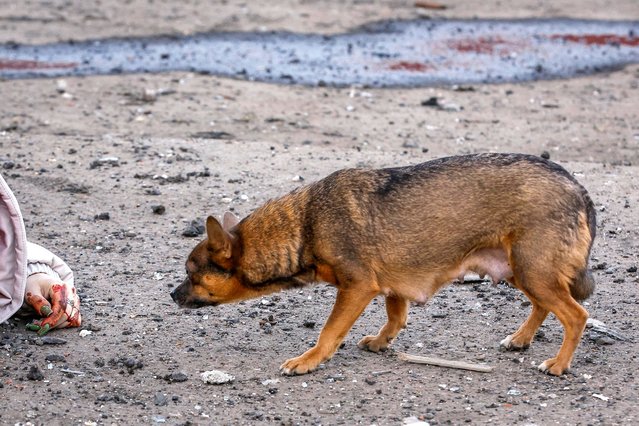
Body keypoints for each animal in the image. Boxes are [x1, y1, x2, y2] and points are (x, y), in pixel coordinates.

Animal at [170, 154, 596, 376]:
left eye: (191, 274)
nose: (172, 295)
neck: (305, 225)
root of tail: (576, 186)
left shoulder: (357, 287)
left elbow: (328, 333)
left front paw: (308, 360)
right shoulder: (391, 283)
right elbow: (395, 316)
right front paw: (381, 340)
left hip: (533, 270)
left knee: (576, 315)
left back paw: (559, 363)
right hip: (522, 271)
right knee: (544, 306)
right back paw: (521, 338)